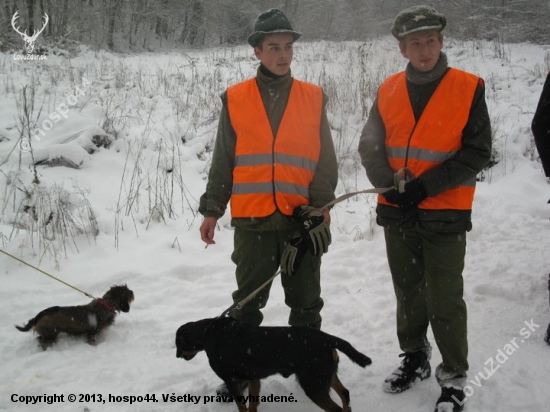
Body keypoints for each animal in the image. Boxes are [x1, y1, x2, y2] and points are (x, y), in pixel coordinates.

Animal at [176, 318, 376, 410]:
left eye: (179, 343)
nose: (178, 356)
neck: (207, 333)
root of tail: (327, 338)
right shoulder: (254, 378)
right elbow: (252, 403)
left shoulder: (230, 379)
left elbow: (242, 405)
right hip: (326, 375)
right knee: (345, 394)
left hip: (314, 385)